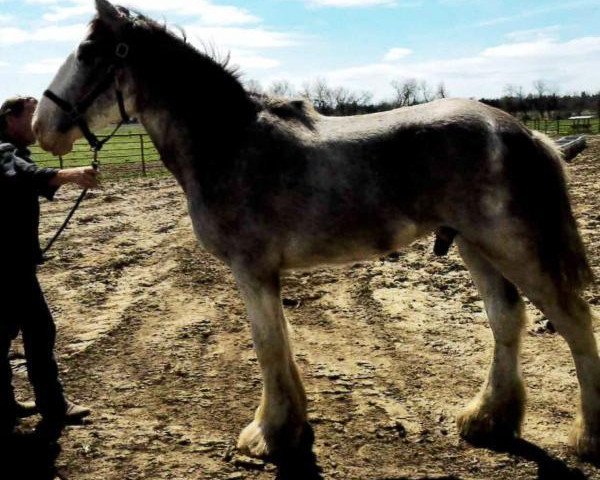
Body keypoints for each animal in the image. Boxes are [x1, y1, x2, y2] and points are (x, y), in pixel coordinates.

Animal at [34, 0, 600, 462]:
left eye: (86, 52)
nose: (41, 127)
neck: (230, 144)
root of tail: (522, 132)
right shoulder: (264, 273)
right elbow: (279, 342)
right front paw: (288, 427)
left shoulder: (251, 269)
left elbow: (267, 345)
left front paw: (267, 434)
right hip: (476, 246)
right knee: (506, 320)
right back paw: (487, 421)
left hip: (513, 247)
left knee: (574, 323)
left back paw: (588, 437)